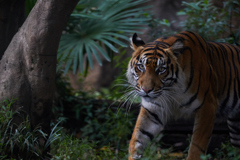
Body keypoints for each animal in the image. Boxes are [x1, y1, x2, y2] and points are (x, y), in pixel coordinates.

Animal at [126, 30, 239, 159]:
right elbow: (137, 138)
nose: (146, 90)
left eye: (161, 70)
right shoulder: (152, 109)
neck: (171, 89)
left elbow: (196, 145)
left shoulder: (208, 106)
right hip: (235, 124)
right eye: (141, 67)